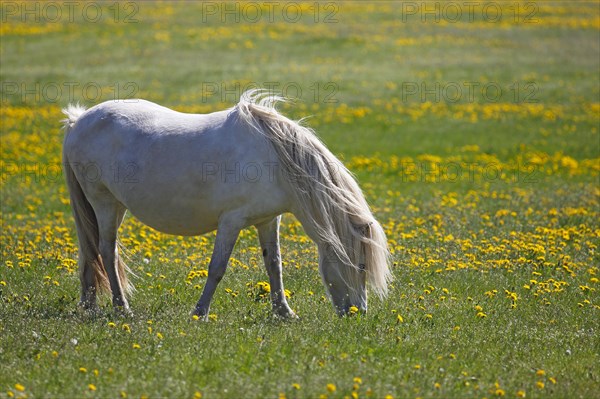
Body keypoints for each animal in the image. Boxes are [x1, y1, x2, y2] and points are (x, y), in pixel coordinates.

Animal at [59, 90, 390, 318]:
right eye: (361, 264)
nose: (358, 313)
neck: (274, 160)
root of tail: (79, 121)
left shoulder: (268, 220)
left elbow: (274, 265)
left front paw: (284, 312)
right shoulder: (231, 221)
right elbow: (217, 267)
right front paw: (199, 312)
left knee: (93, 251)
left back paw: (91, 304)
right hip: (105, 203)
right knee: (106, 251)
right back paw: (122, 307)